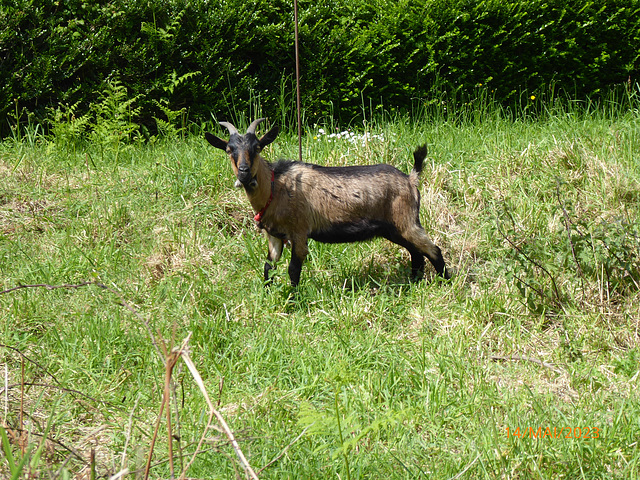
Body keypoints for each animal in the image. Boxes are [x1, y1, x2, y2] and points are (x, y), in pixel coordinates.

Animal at [205, 118, 450, 286]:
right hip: (394, 228)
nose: (244, 172)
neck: (276, 186)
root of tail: (411, 179)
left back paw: (446, 283)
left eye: (257, 147)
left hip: (407, 220)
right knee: (416, 253)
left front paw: (293, 302)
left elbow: (293, 269)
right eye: (229, 149)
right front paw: (268, 296)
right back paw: (414, 282)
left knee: (433, 249)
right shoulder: (273, 235)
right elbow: (268, 268)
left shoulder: (299, 231)